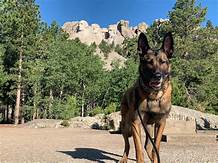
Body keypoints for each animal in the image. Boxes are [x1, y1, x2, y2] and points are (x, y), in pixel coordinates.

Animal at [120, 32, 173, 163]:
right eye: (149, 62)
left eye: (163, 62)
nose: (157, 76)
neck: (153, 96)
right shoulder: (136, 123)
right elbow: (138, 149)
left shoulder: (161, 123)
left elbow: (156, 147)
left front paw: (155, 159)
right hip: (126, 125)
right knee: (127, 145)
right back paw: (124, 158)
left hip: (149, 127)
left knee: (148, 146)